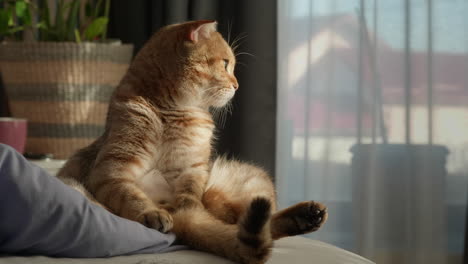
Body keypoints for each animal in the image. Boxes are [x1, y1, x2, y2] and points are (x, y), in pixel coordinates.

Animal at [58, 20, 328, 264]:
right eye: (225, 63)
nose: (237, 85)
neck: (172, 114)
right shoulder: (112, 171)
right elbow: (132, 196)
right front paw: (151, 212)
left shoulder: (192, 171)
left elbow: (190, 196)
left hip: (235, 188)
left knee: (241, 223)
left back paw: (307, 216)